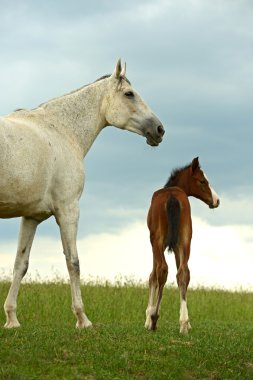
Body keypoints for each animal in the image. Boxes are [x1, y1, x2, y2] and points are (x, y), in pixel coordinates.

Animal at [1, 58, 164, 326]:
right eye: (129, 94)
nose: (159, 129)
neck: (62, 130)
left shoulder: (31, 217)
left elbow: (20, 264)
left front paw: (12, 319)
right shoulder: (68, 210)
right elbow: (73, 262)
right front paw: (82, 318)